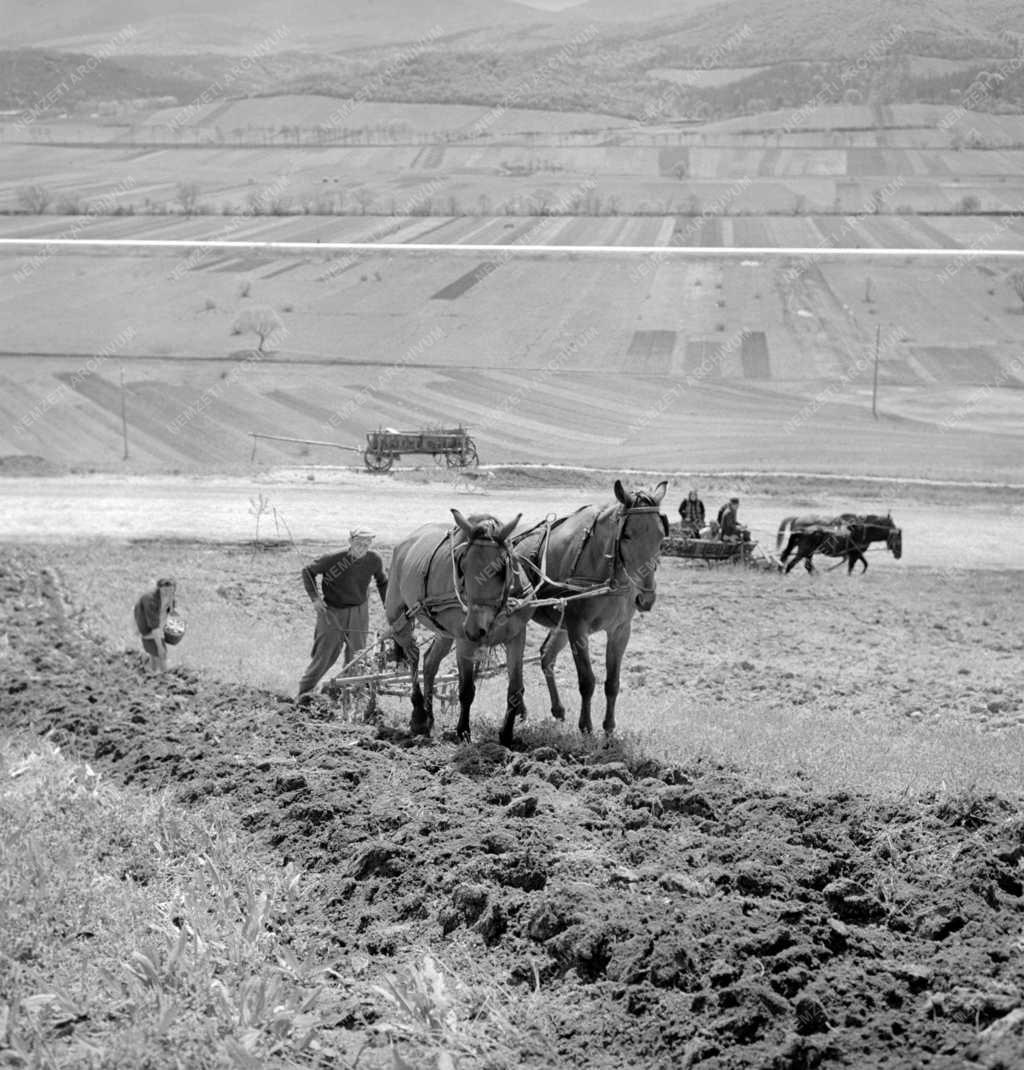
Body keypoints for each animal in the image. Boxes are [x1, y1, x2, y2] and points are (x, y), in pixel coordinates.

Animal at [378, 509, 530, 744]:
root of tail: (405, 542)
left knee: (429, 663)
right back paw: (419, 716)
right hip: (398, 618)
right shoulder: (464, 641)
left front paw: (506, 735)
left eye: (500, 568)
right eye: (462, 566)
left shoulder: (516, 636)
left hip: (445, 632)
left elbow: (515, 689)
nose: (475, 629)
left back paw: (429, 717)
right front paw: (463, 731)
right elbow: (466, 689)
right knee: (413, 655)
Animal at [511, 483, 671, 740]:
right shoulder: (578, 628)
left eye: (660, 536)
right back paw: (520, 709)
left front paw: (609, 728)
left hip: (561, 625)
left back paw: (556, 709)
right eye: (627, 535)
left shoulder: (620, 631)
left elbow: (612, 683)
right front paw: (586, 727)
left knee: (546, 656)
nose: (645, 598)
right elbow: (587, 680)